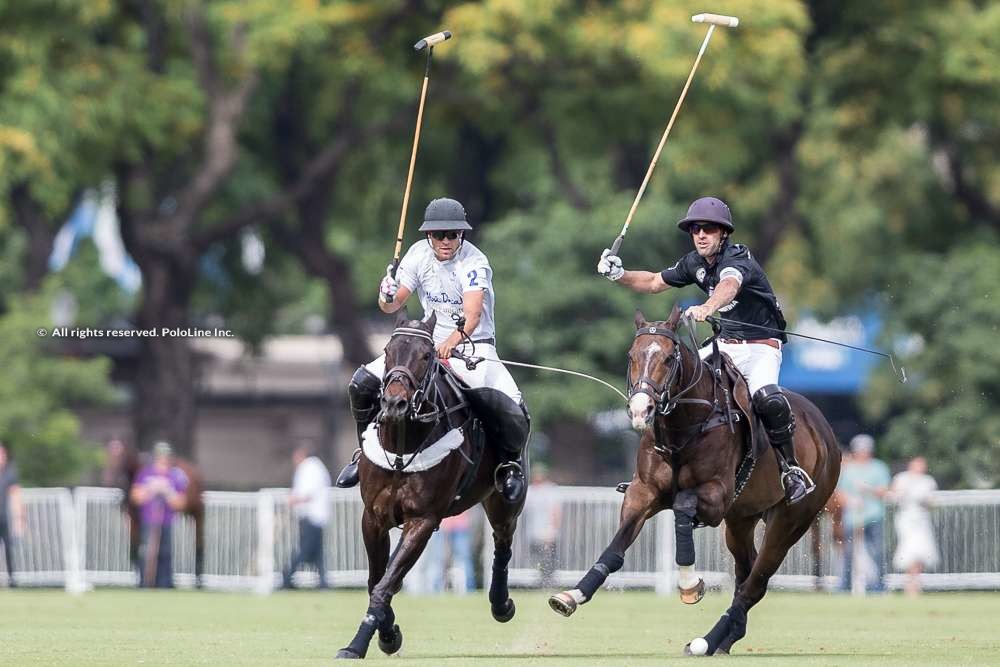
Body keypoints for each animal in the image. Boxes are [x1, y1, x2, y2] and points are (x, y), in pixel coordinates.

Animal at [336, 316, 524, 660]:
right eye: (388, 350)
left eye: (426, 355)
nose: (394, 403)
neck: (401, 448)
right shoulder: (373, 517)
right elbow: (377, 579)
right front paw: (387, 633)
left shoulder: (422, 520)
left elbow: (386, 583)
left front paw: (360, 643)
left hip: (504, 502)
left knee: (503, 542)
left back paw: (501, 604)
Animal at [552, 310, 840, 656]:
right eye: (631, 356)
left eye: (667, 358)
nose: (641, 410)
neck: (683, 423)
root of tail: (825, 431)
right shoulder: (643, 492)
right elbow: (616, 547)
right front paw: (571, 596)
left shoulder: (715, 498)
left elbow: (682, 507)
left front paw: (690, 584)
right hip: (741, 519)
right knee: (746, 572)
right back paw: (726, 638)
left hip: (792, 520)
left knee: (756, 581)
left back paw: (708, 641)